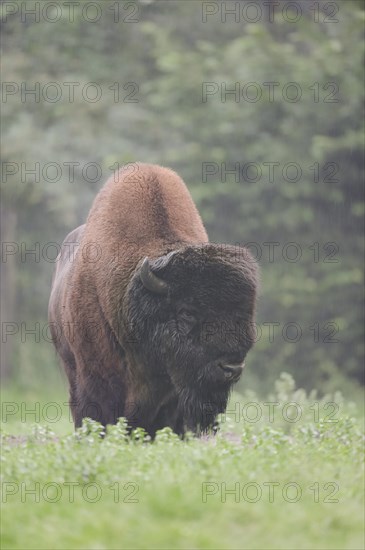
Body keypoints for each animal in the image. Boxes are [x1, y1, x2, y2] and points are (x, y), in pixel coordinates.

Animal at [48, 162, 258, 438]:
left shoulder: (173, 391)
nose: (232, 367)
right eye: (186, 313)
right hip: (70, 363)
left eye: (246, 313)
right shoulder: (96, 375)